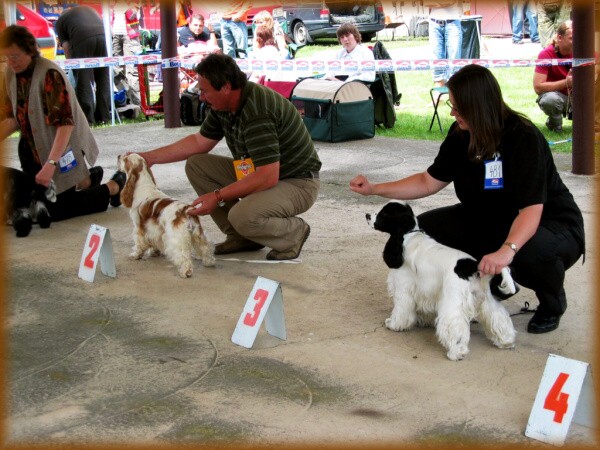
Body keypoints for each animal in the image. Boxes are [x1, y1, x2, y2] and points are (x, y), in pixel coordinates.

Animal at [368, 202, 516, 360]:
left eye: (384, 213)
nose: (367, 215)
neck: (408, 234)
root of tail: (472, 265)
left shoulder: (403, 286)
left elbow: (401, 310)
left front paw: (394, 324)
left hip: (453, 299)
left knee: (454, 325)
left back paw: (457, 352)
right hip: (484, 297)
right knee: (497, 316)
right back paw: (506, 341)